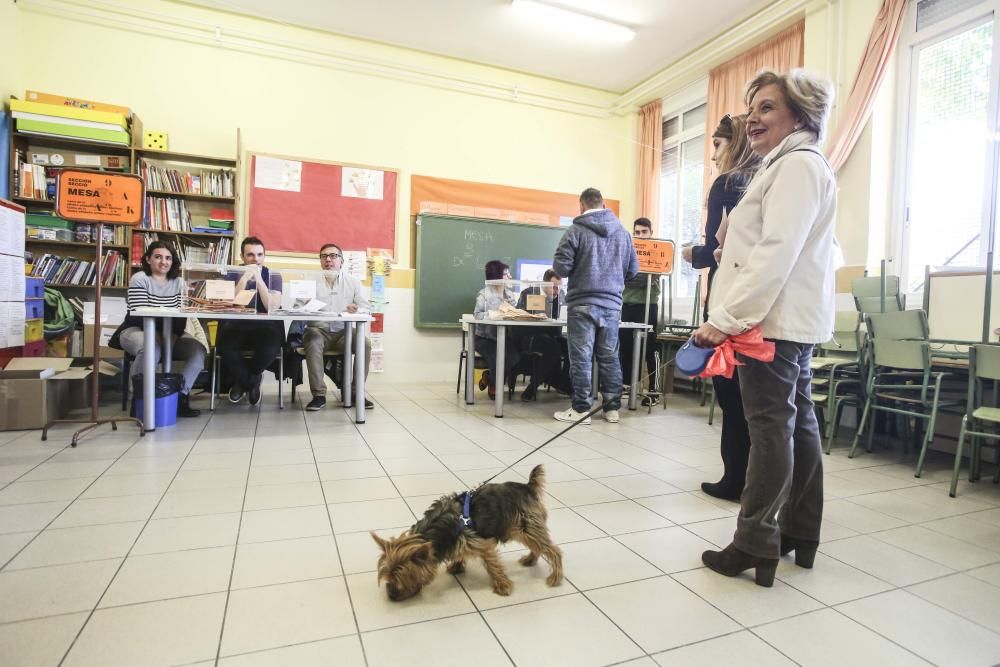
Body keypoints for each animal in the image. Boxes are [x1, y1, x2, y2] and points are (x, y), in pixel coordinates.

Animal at [374, 468, 568, 604]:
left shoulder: (480, 543)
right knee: (538, 546)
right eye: (387, 576)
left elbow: (493, 565)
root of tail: (528, 486)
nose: (391, 596)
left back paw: (555, 577)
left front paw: (503, 585)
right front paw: (457, 565)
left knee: (552, 549)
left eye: (403, 577)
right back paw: (530, 560)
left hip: (526, 525)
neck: (436, 530)